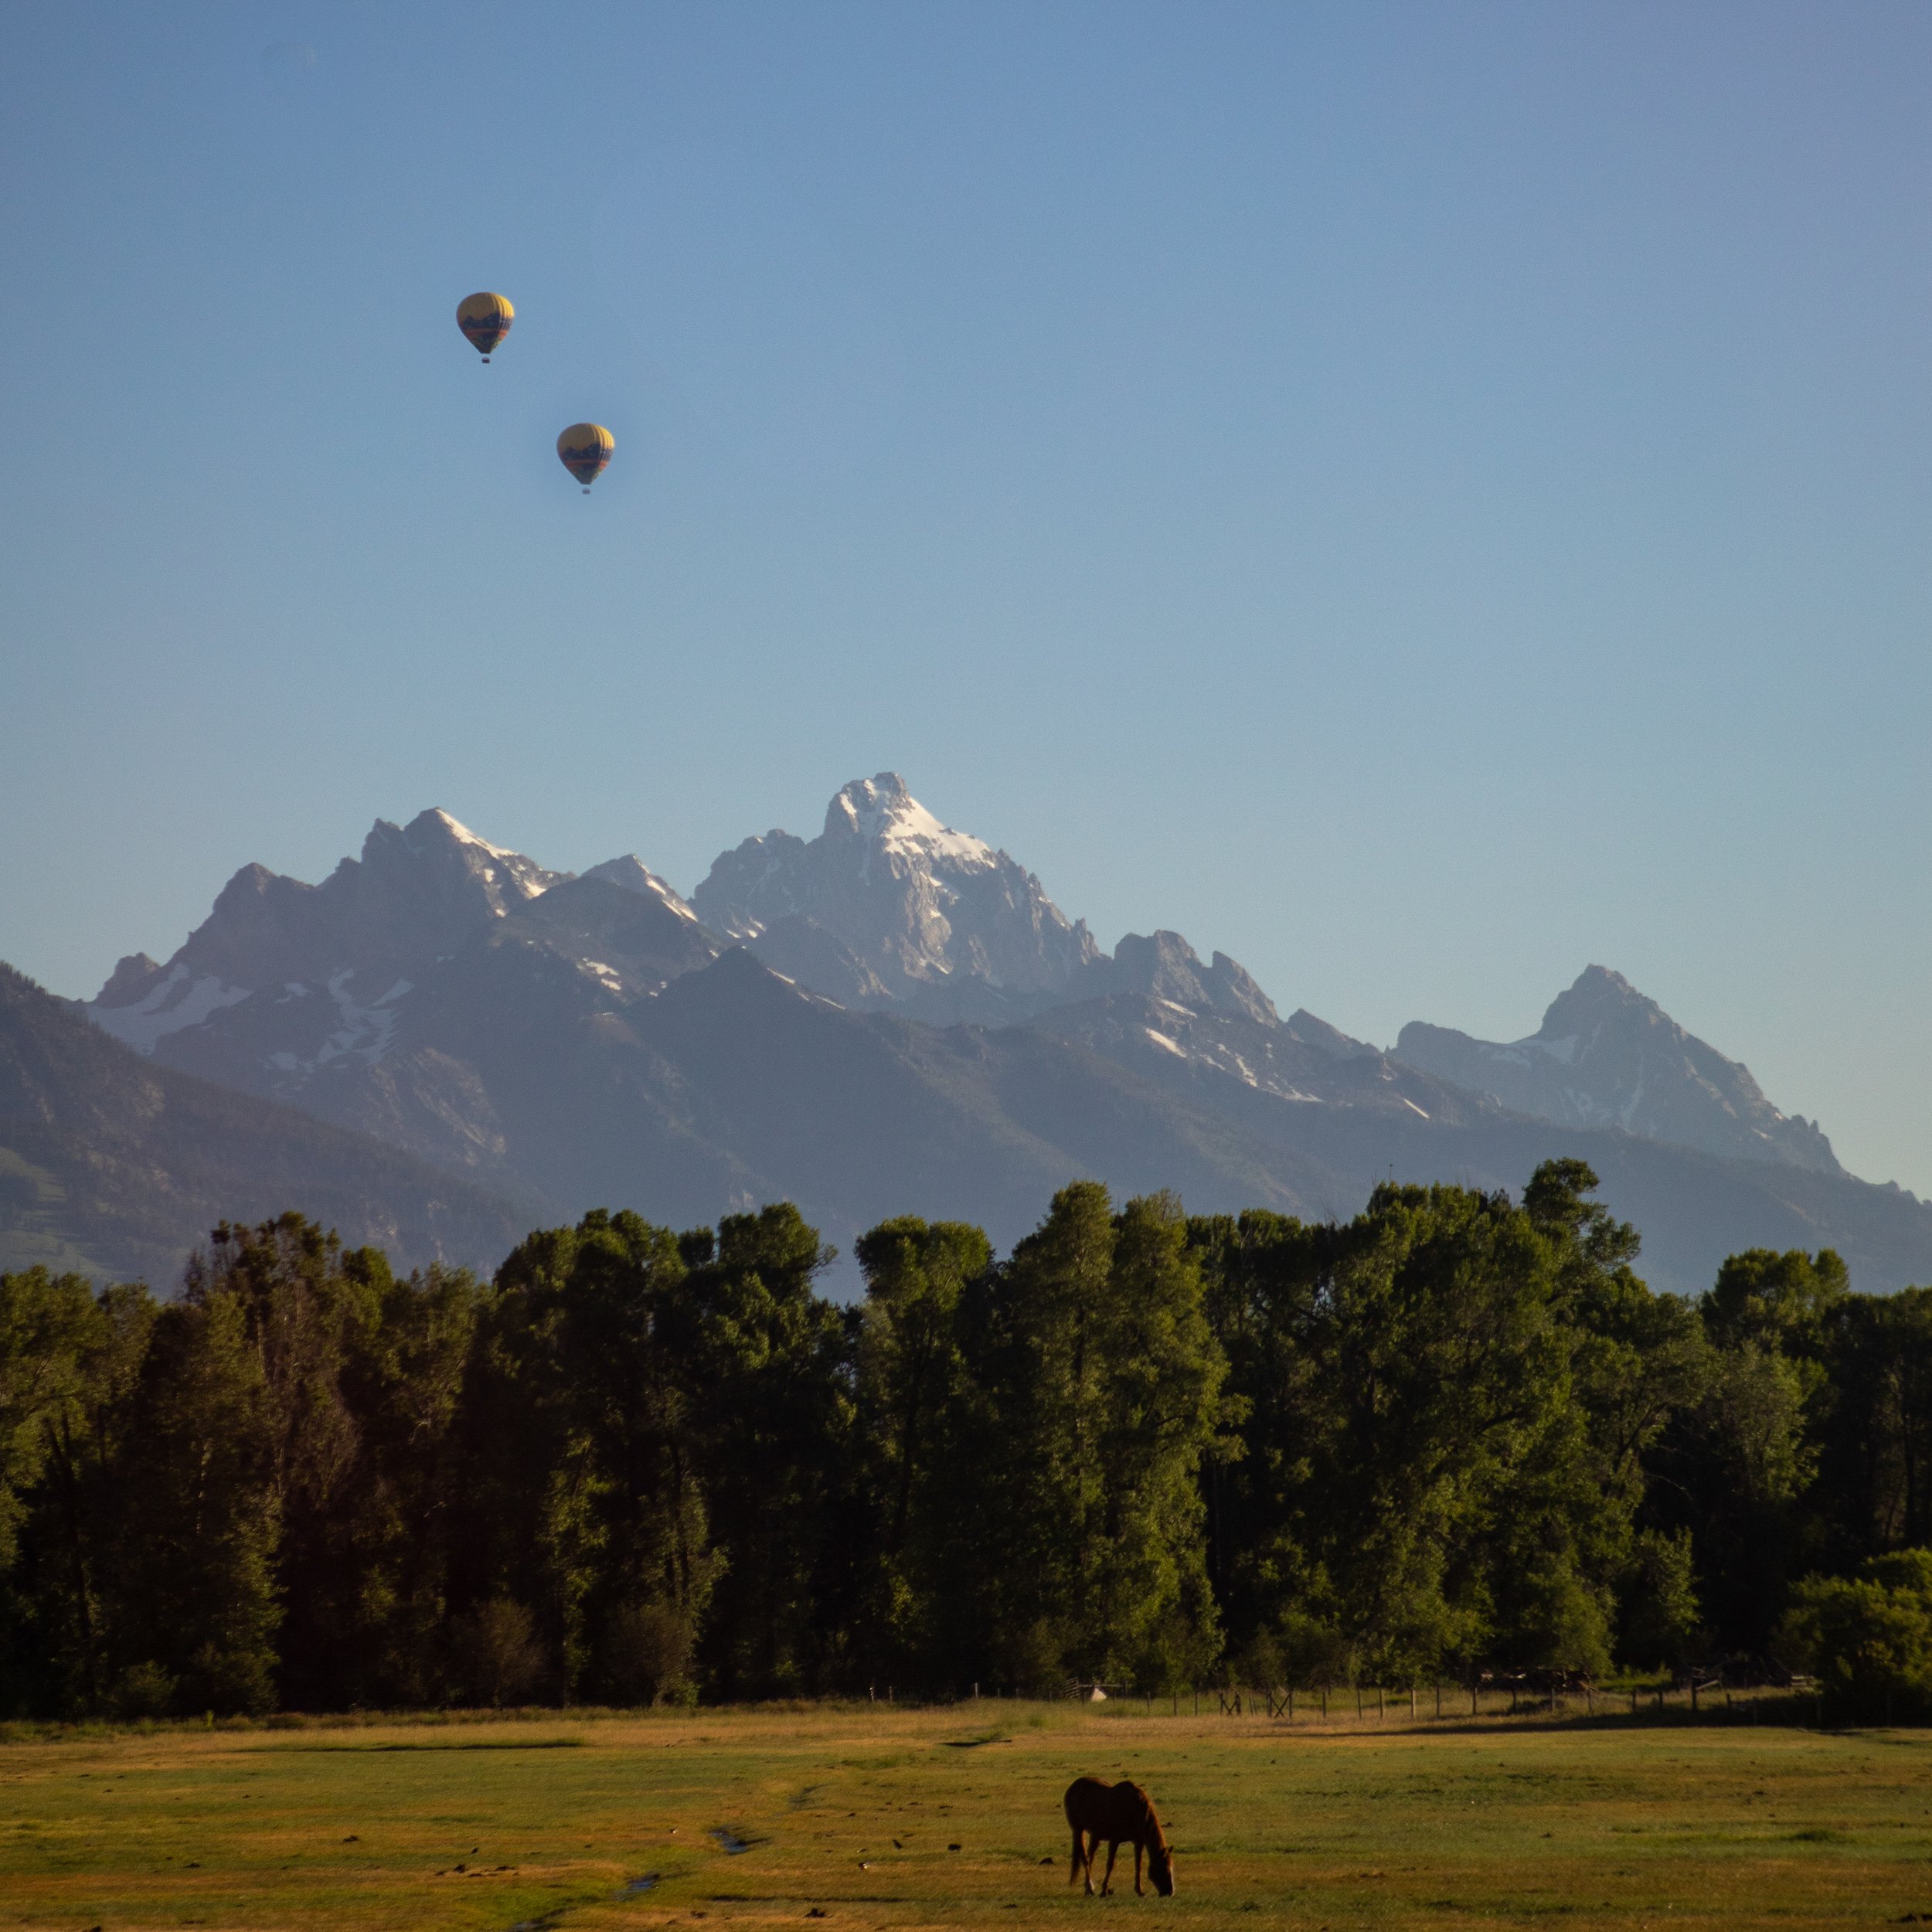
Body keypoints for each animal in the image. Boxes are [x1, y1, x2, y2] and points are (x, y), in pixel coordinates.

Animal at [1063, 1775, 1175, 1897]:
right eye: (1163, 1868)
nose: (1170, 1892)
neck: (1133, 1810)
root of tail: (1073, 1787)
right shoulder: (1114, 1841)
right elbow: (1110, 1865)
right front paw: (1103, 1891)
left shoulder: (1138, 1842)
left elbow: (1138, 1865)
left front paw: (1139, 1890)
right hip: (1078, 1830)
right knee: (1084, 1858)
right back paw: (1090, 1888)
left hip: (1095, 1835)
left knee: (1090, 1857)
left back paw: (1088, 1889)